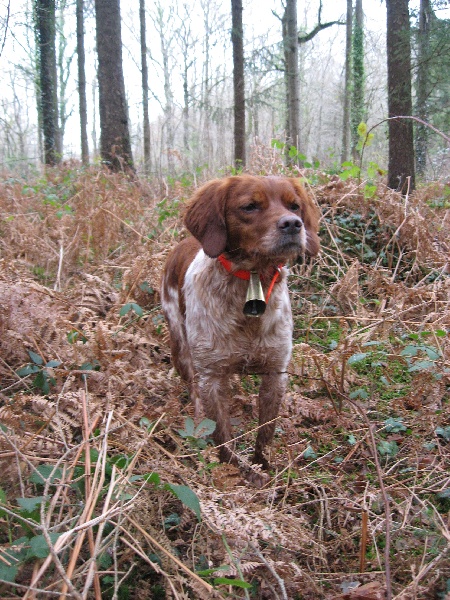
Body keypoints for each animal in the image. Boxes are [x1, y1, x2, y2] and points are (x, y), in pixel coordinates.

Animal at [160, 175, 318, 468]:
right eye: (250, 206)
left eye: (295, 206)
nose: (293, 224)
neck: (252, 280)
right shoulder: (210, 377)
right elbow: (222, 437)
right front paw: (236, 469)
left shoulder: (275, 372)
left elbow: (265, 432)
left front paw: (262, 467)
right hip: (181, 348)